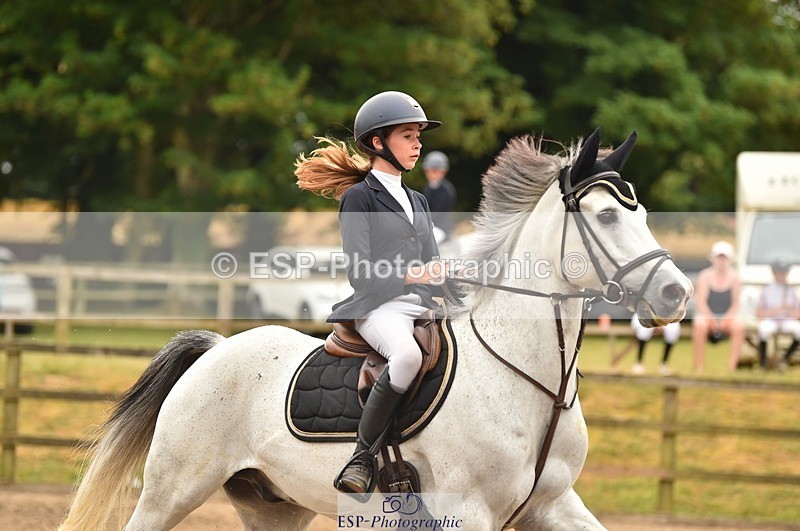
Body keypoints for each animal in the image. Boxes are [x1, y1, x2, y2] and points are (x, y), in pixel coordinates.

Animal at [60, 128, 692, 531]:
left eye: (640, 213)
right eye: (606, 216)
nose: (677, 294)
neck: (531, 382)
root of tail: (217, 350)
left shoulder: (555, 505)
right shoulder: (468, 512)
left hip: (273, 505)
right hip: (172, 490)